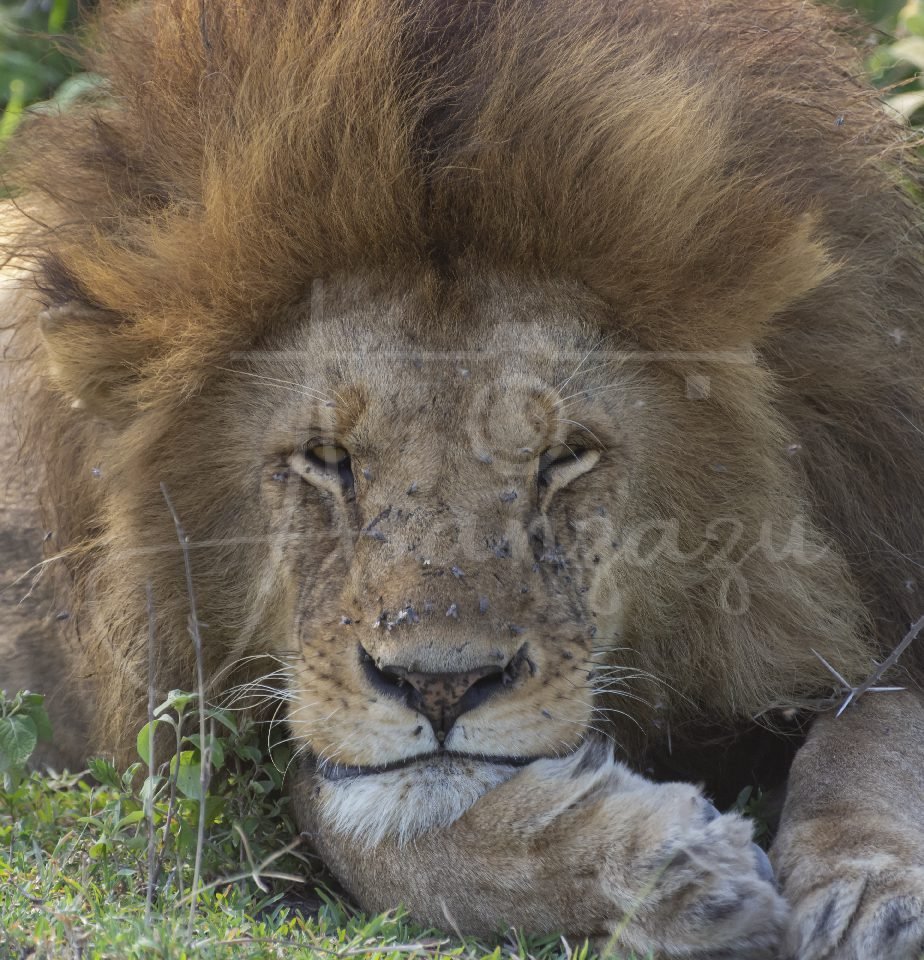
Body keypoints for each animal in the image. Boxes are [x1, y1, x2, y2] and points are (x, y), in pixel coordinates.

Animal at [3, 0, 924, 956]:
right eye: (328, 459)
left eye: (562, 458)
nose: (440, 685)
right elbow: (376, 827)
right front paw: (674, 872)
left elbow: (873, 729)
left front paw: (867, 892)